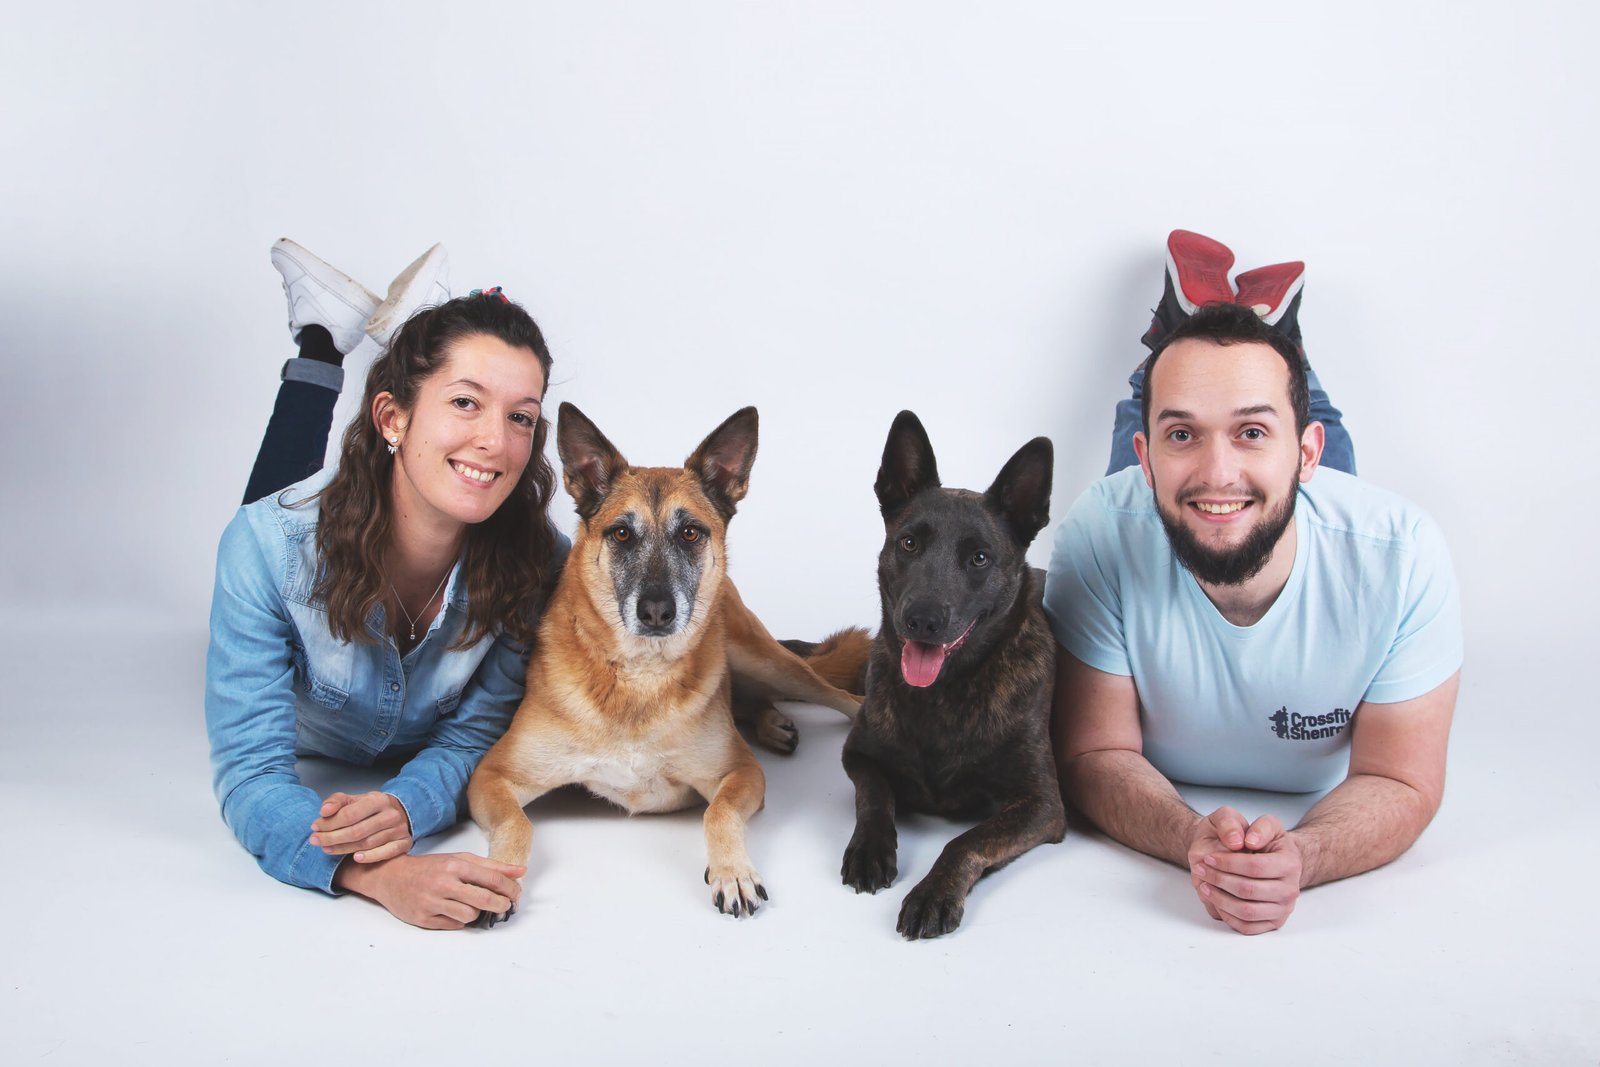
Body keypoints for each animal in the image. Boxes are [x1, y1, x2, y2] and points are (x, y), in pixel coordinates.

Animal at [467, 404, 864, 921]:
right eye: (620, 533)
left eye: (690, 532)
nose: (656, 611)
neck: (639, 676)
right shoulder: (492, 776)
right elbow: (518, 824)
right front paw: (496, 876)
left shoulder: (742, 772)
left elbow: (718, 811)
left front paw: (733, 872)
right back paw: (773, 723)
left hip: (762, 658)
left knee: (837, 693)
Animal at [838, 412, 1062, 940]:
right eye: (909, 543)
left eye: (979, 557)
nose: (920, 620)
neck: (943, 693)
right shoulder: (858, 755)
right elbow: (873, 797)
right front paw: (871, 848)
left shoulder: (1043, 804)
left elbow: (966, 841)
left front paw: (933, 892)